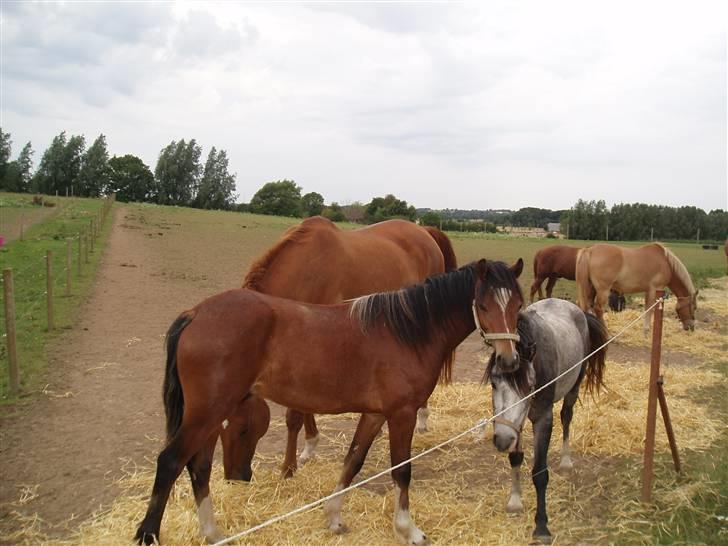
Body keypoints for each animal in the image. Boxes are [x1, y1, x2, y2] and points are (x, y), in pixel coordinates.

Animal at [135, 260, 524, 544]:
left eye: (518, 305)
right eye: (483, 304)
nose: (509, 360)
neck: (409, 331)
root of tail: (197, 313)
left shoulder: (374, 414)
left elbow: (353, 461)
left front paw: (334, 517)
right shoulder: (402, 414)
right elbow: (401, 470)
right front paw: (408, 529)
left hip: (212, 415)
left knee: (198, 467)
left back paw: (212, 532)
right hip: (207, 413)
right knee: (171, 462)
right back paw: (149, 534)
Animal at [222, 215, 458, 478]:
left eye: (242, 427)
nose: (233, 477)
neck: (305, 270)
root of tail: (423, 230)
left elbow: (295, 412)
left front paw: (288, 468)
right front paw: (310, 446)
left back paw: (423, 419)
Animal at [490, 298, 608, 540]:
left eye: (529, 387)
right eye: (493, 382)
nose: (502, 439)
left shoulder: (543, 419)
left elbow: (540, 473)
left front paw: (541, 526)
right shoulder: (516, 424)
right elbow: (515, 458)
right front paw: (515, 500)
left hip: (574, 387)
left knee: (566, 418)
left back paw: (566, 461)